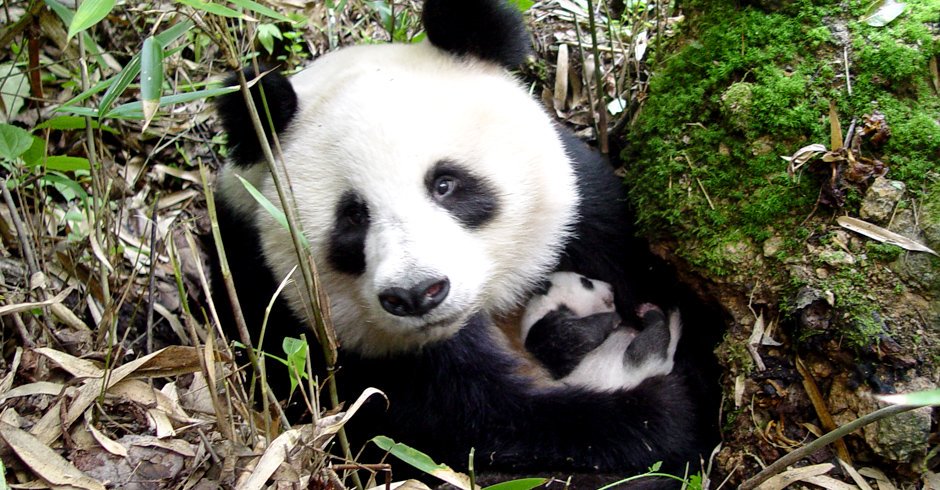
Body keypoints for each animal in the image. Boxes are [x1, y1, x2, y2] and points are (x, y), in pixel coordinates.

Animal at [521, 272, 682, 390]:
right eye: (586, 282)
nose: (611, 287)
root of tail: (664, 365)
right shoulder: (542, 333)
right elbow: (574, 336)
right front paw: (613, 319)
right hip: (631, 367)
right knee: (648, 345)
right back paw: (652, 315)